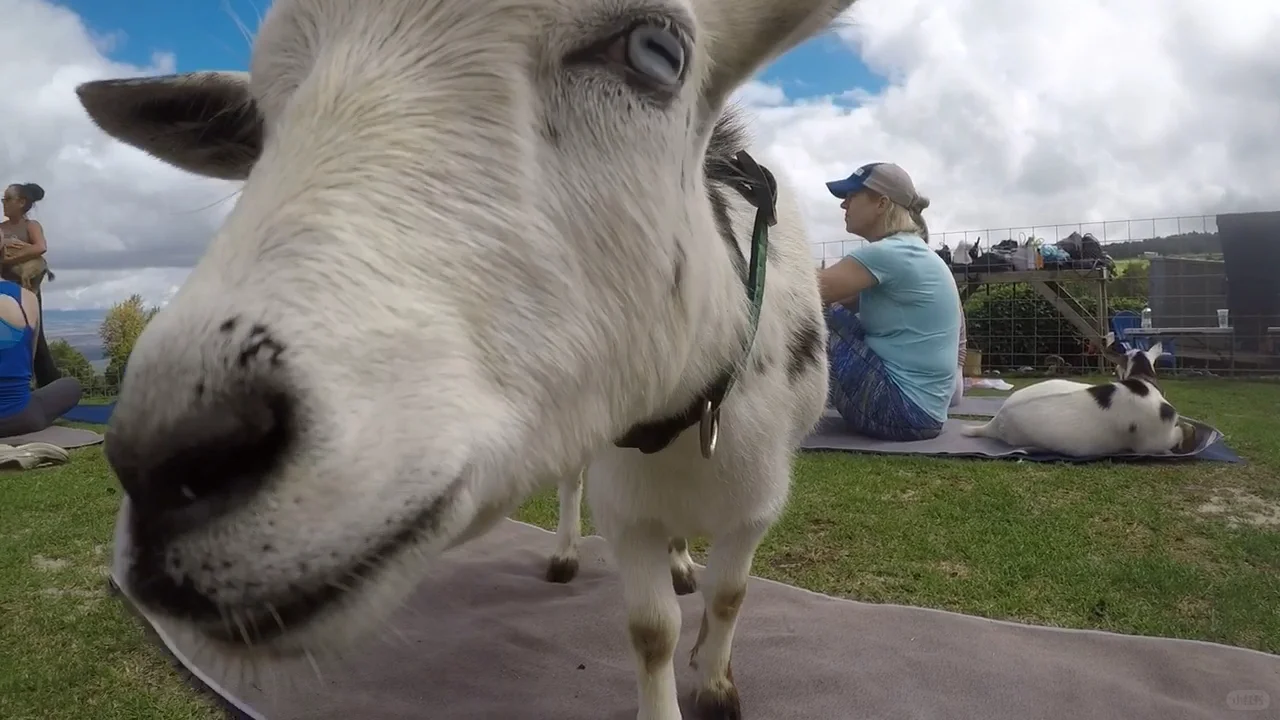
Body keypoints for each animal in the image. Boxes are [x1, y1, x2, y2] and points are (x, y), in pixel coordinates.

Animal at [76, 1, 851, 717]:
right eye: (258, 124)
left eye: (658, 53)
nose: (166, 464)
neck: (688, 416)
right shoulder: (624, 502)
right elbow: (650, 629)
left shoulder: (758, 502)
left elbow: (730, 595)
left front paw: (716, 684)